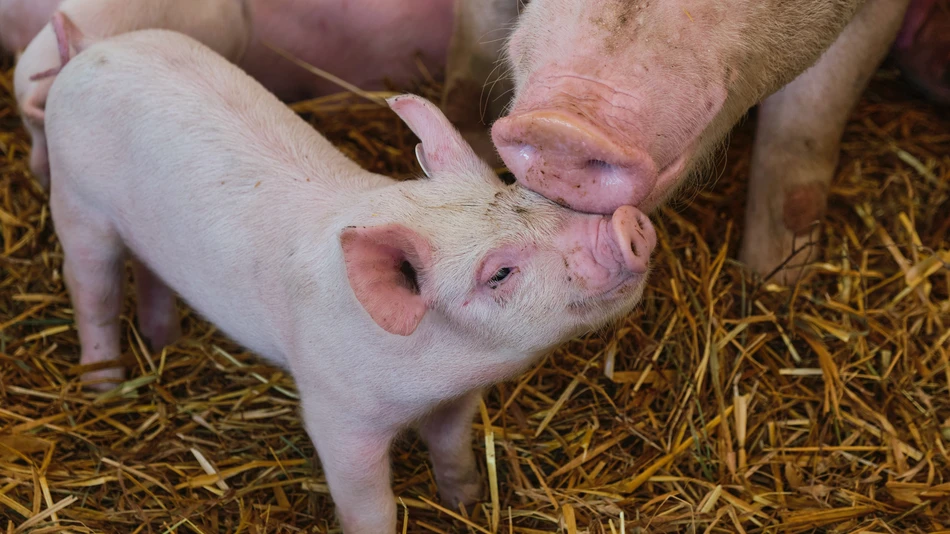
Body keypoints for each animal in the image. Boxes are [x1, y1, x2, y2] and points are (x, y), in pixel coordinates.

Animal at [45, 28, 656, 532]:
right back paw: (104, 386)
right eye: (500, 273)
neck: (434, 373)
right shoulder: (335, 413)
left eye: (524, 193)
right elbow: (370, 504)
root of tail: (92, 50)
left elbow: (452, 448)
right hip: (76, 203)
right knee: (93, 293)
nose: (626, 225)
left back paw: (163, 342)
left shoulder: (457, 400)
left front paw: (466, 502)